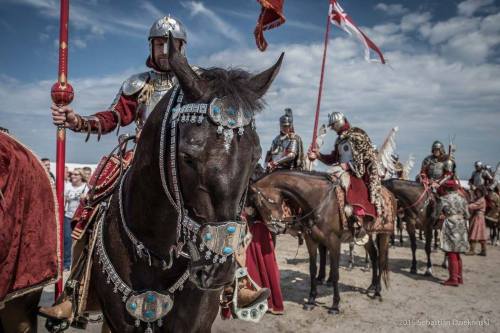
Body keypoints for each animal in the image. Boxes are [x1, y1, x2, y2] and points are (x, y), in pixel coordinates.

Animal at [250, 170, 390, 312]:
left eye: (260, 202)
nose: (275, 227)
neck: (319, 202)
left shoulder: (334, 242)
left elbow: (335, 272)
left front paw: (335, 305)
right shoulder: (311, 240)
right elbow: (313, 269)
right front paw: (311, 300)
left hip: (383, 234)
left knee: (381, 259)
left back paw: (377, 292)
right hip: (365, 236)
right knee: (374, 255)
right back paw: (372, 286)